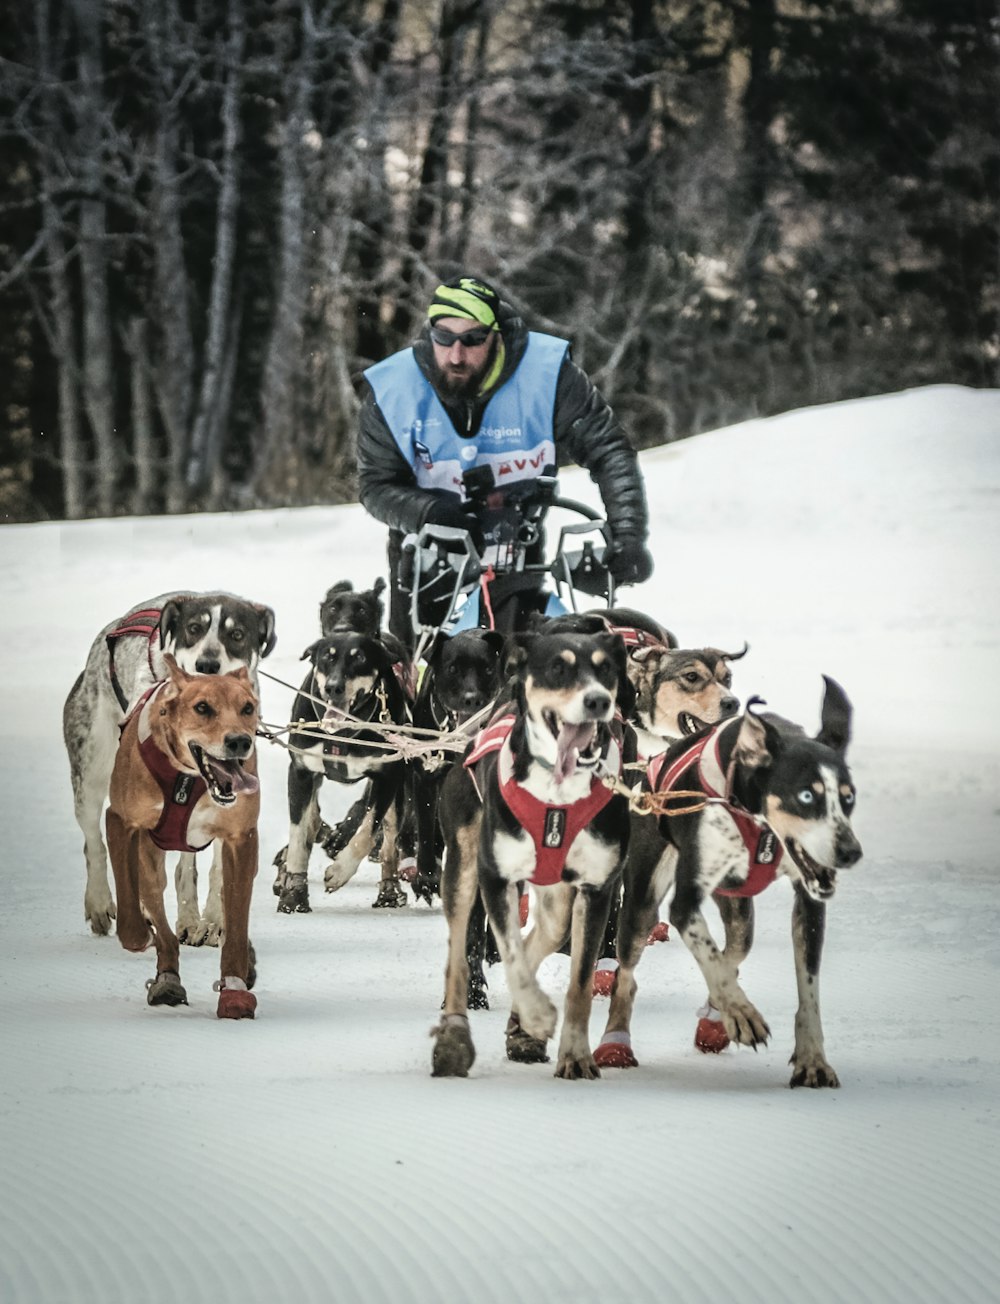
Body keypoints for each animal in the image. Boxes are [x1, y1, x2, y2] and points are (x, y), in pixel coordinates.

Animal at [65, 592, 277, 938]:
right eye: (194, 628)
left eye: (236, 634)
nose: (207, 664)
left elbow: (216, 870)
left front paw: (211, 920)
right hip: (91, 773)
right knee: (94, 843)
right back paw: (99, 902)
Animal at [106, 657, 262, 1011]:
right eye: (202, 707)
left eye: (247, 707)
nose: (239, 741)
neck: (188, 779)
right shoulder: (119, 823)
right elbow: (130, 907)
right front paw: (141, 937)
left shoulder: (241, 839)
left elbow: (236, 922)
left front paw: (234, 987)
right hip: (148, 859)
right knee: (156, 909)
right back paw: (167, 978)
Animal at [430, 631, 633, 1079]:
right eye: (558, 667)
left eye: (606, 668)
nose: (598, 701)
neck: (558, 797)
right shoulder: (495, 875)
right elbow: (510, 955)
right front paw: (537, 1015)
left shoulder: (596, 888)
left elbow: (579, 981)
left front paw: (575, 1054)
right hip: (464, 866)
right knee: (459, 956)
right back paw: (455, 1038)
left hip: (557, 893)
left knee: (544, 934)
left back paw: (519, 1028)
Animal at [599, 678, 865, 1084]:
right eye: (806, 796)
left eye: (849, 798)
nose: (850, 851)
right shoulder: (686, 901)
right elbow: (708, 953)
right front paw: (741, 1014)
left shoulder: (809, 901)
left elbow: (807, 989)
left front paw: (812, 1060)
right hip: (641, 905)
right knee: (627, 974)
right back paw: (615, 1040)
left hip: (738, 906)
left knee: (737, 948)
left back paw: (715, 1016)